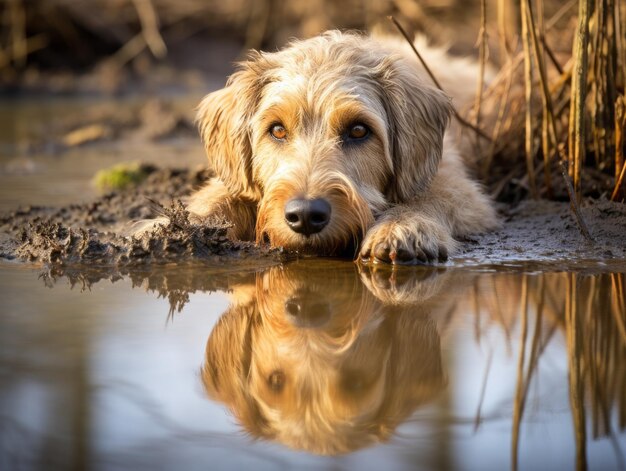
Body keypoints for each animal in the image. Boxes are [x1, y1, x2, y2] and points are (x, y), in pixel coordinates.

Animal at [186, 31, 498, 264]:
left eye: (358, 130)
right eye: (277, 129)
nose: (305, 216)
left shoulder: (461, 188)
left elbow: (430, 196)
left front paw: (403, 226)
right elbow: (217, 197)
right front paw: (184, 224)